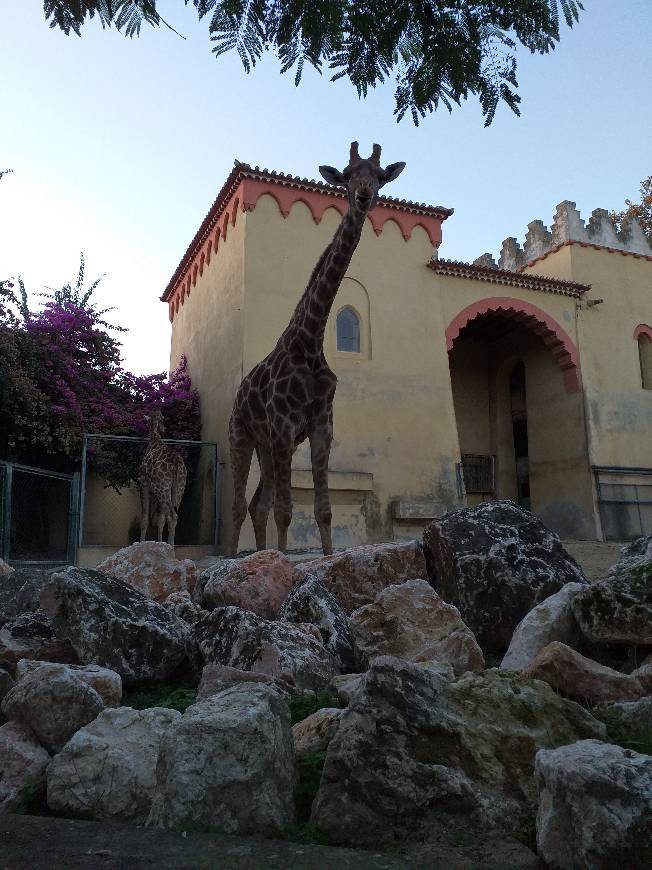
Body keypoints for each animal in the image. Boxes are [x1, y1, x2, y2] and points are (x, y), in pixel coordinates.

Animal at [138, 408, 187, 544]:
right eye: (163, 419)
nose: (164, 429)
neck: (155, 440)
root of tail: (176, 463)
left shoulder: (144, 485)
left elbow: (145, 519)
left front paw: (141, 542)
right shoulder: (156, 492)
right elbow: (160, 520)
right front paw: (159, 542)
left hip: (162, 488)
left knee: (172, 515)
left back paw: (170, 546)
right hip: (178, 490)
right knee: (173, 515)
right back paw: (170, 545)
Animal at [228, 140, 402, 556]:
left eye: (379, 176)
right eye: (348, 175)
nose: (363, 196)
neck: (309, 339)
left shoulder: (320, 426)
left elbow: (322, 510)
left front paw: (323, 558)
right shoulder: (284, 427)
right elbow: (286, 511)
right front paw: (281, 562)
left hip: (268, 446)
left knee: (258, 505)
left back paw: (261, 553)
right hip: (241, 436)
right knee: (240, 506)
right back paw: (229, 557)